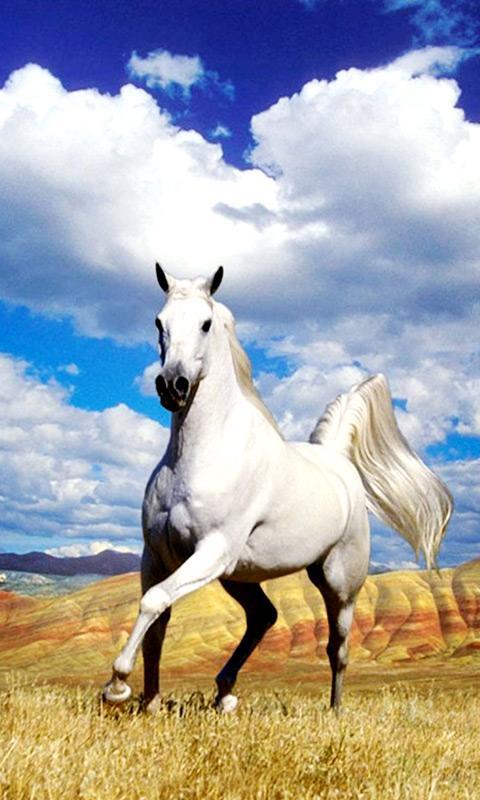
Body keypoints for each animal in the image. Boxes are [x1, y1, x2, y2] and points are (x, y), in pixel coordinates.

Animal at [103, 265, 453, 712]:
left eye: (205, 323)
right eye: (158, 322)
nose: (172, 386)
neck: (198, 457)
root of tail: (337, 461)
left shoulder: (211, 550)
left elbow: (153, 602)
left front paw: (117, 686)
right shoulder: (158, 555)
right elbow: (157, 622)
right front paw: (148, 704)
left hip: (339, 583)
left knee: (337, 648)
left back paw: (333, 712)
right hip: (239, 576)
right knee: (263, 617)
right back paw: (224, 693)